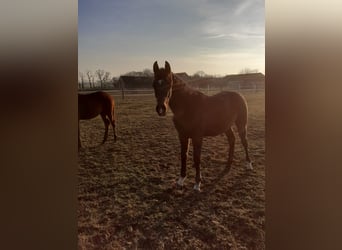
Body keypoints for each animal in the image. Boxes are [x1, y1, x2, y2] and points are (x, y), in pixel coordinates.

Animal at [152, 61, 251, 190]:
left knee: (244, 141)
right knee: (232, 140)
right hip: (226, 126)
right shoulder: (183, 136)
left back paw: (248, 165)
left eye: (169, 84)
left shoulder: (197, 137)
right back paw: (227, 166)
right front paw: (181, 180)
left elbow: (196, 158)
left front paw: (197, 183)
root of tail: (239, 94)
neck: (187, 107)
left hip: (241, 124)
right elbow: (183, 155)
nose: (161, 109)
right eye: (154, 85)